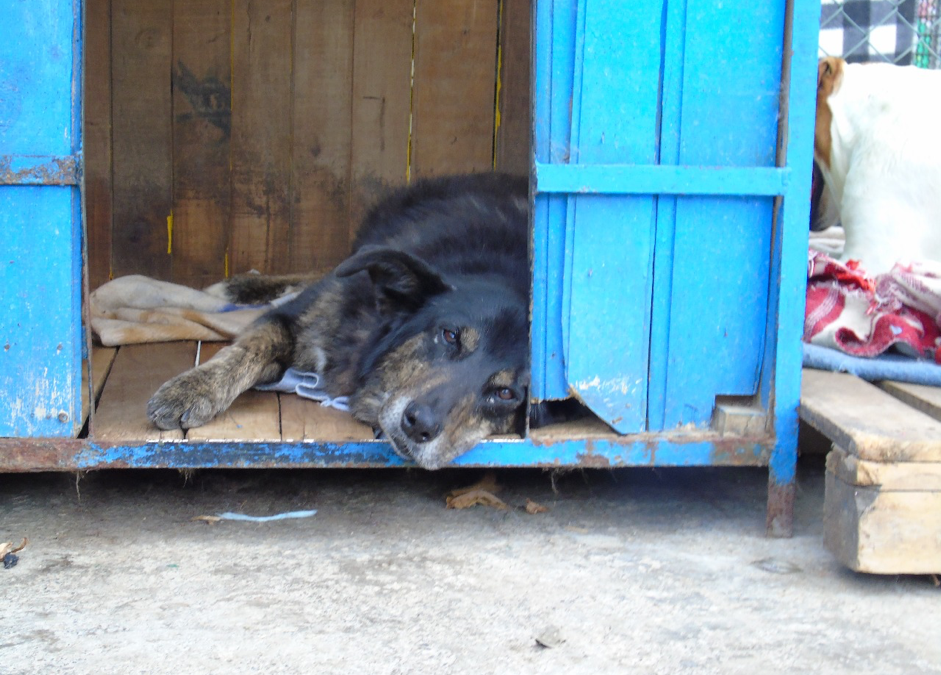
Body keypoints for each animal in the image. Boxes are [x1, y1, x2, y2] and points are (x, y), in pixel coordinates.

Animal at [147, 174, 528, 470]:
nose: (419, 424)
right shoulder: (294, 318)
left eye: (506, 393)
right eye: (449, 335)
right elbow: (245, 352)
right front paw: (191, 389)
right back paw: (242, 286)